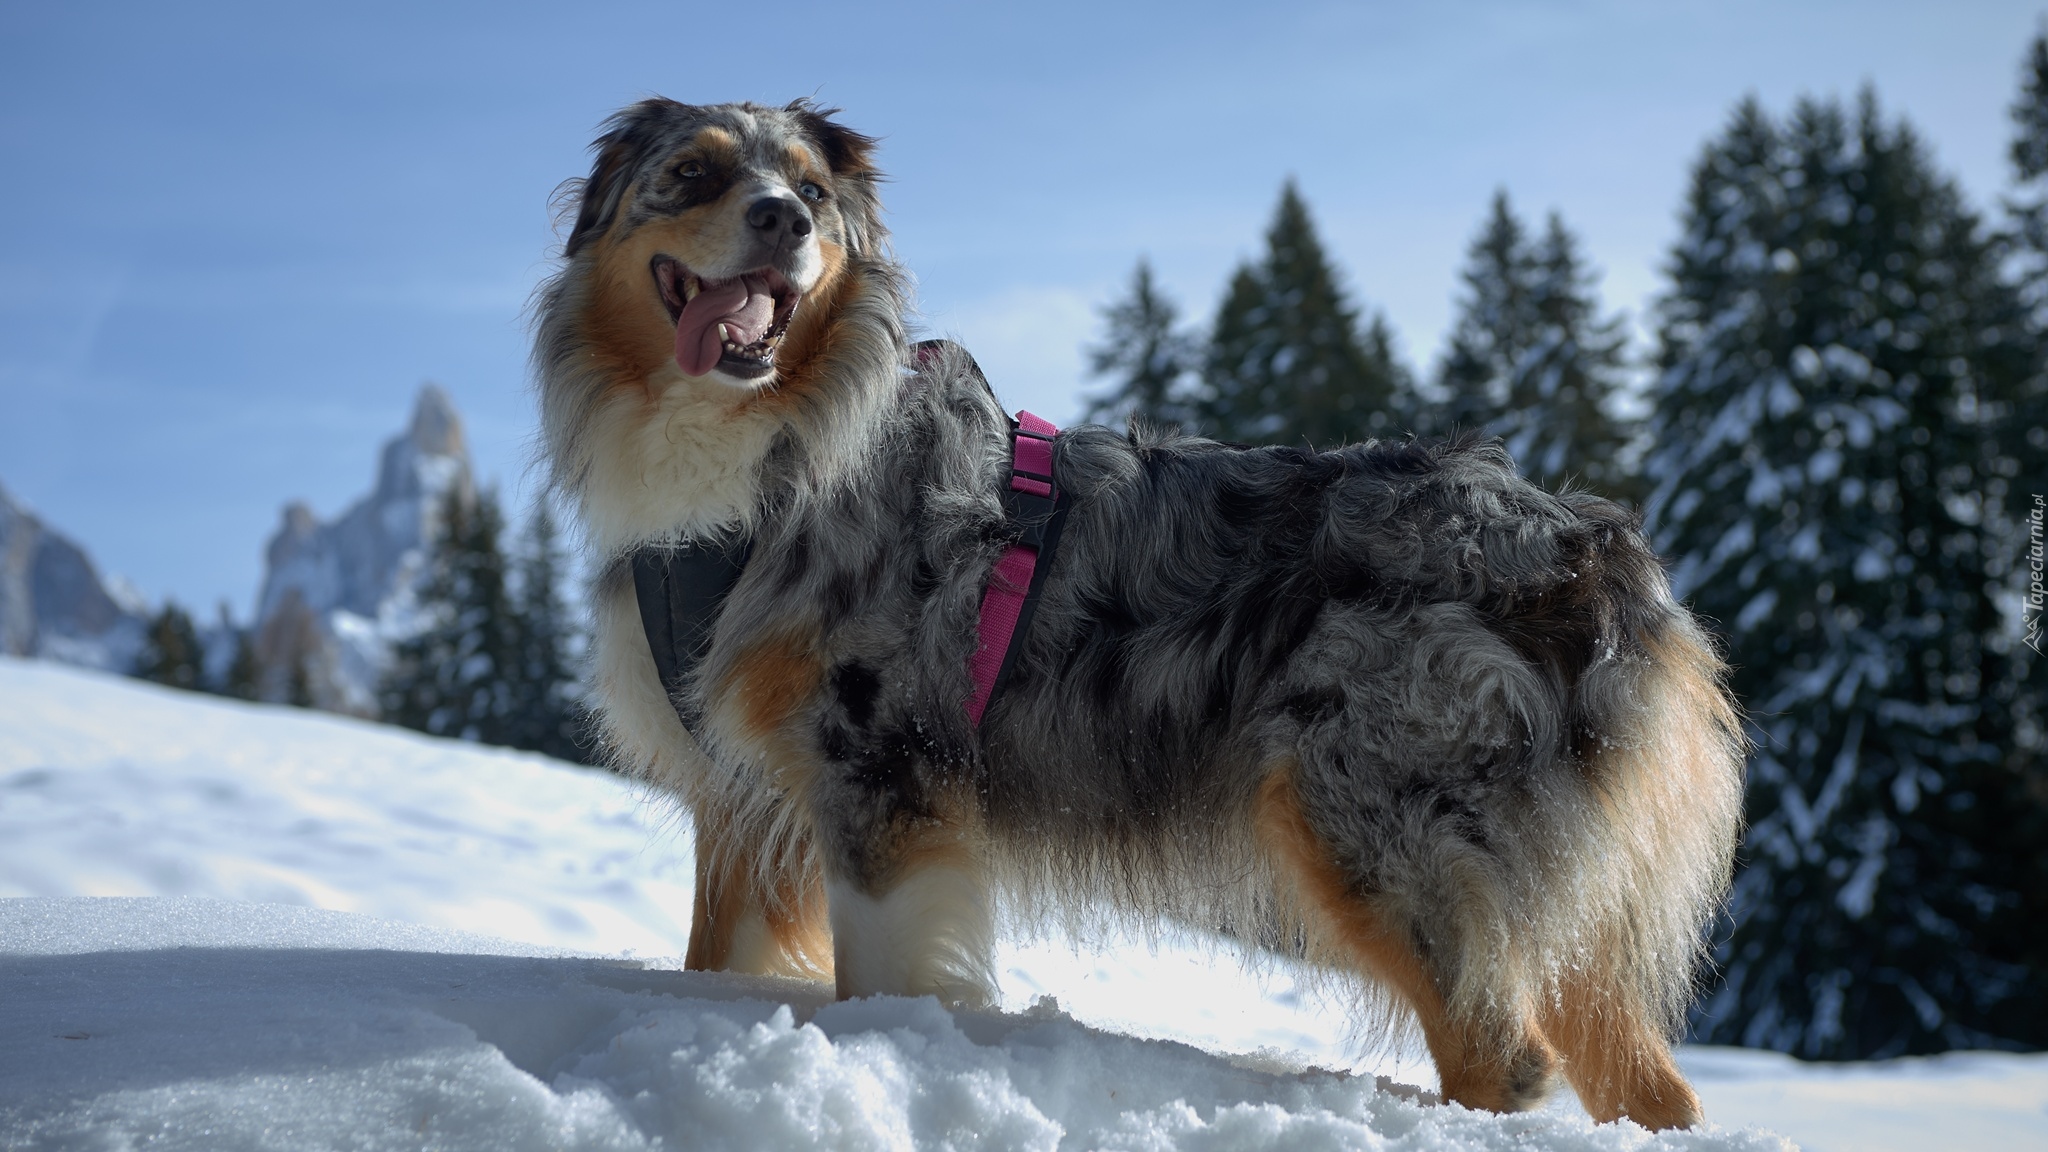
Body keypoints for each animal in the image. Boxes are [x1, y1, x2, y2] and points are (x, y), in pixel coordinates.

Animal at [532, 100, 1744, 1131]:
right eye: (692, 172)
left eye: (811, 193)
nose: (780, 218)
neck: (758, 459)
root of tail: (1590, 544)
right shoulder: (744, 794)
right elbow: (716, 956)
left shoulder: (881, 773)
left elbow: (875, 970)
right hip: (1560, 899)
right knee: (1644, 1080)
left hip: (1370, 813)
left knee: (1507, 1058)